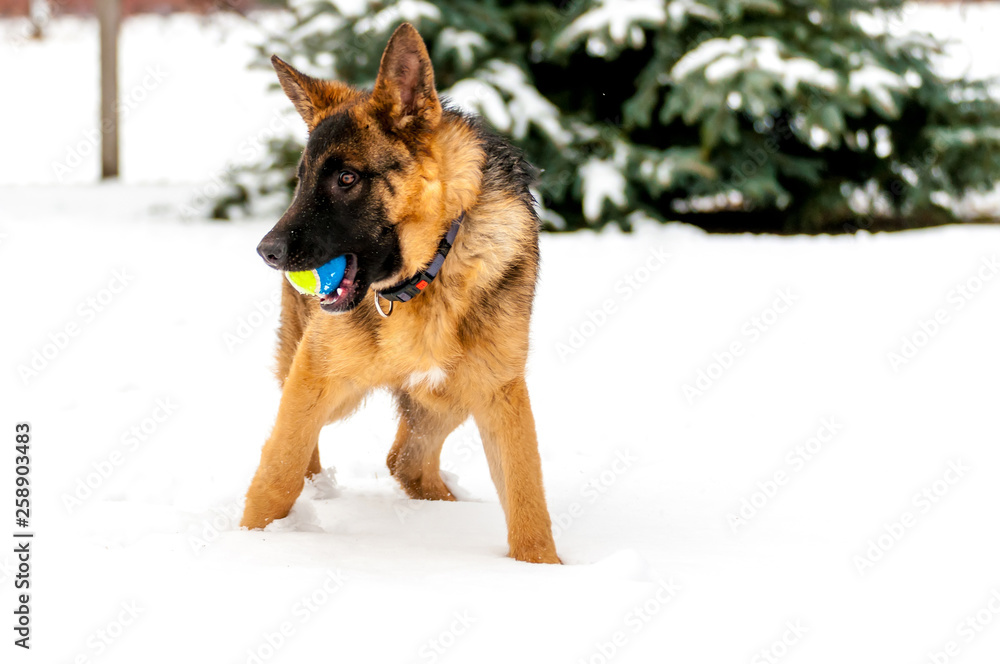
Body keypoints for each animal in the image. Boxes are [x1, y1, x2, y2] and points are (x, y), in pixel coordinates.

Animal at [238, 26, 560, 564]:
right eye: (301, 181)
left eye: (347, 178)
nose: (267, 251)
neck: (426, 278)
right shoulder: (316, 375)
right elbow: (278, 470)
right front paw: (247, 542)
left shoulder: (499, 390)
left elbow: (526, 494)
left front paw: (543, 569)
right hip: (330, 382)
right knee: (321, 450)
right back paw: (317, 494)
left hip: (449, 396)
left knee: (406, 462)